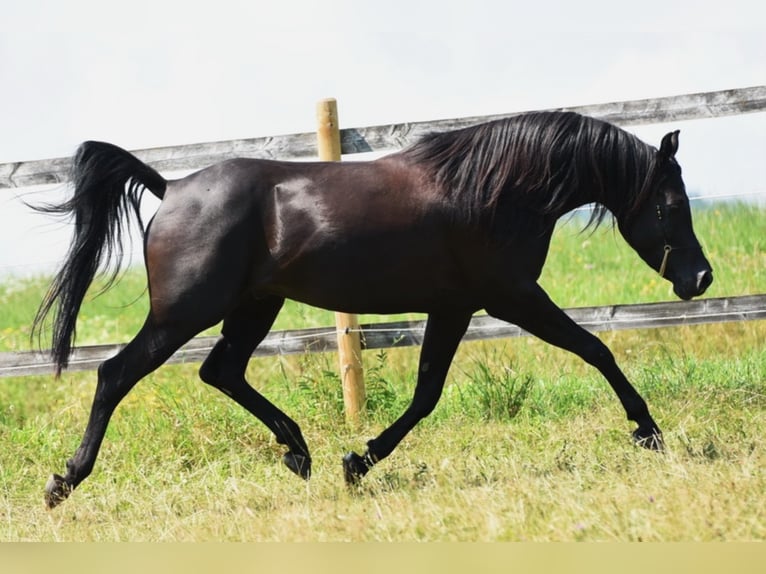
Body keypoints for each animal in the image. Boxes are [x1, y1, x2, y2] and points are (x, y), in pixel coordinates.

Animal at [33, 110, 713, 508]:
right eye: (671, 204)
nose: (700, 278)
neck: (491, 192)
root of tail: (170, 187)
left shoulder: (455, 307)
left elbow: (426, 394)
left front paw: (356, 462)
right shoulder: (513, 296)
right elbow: (595, 348)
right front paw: (648, 432)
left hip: (255, 306)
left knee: (220, 371)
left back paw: (299, 451)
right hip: (185, 313)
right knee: (116, 374)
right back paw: (64, 482)